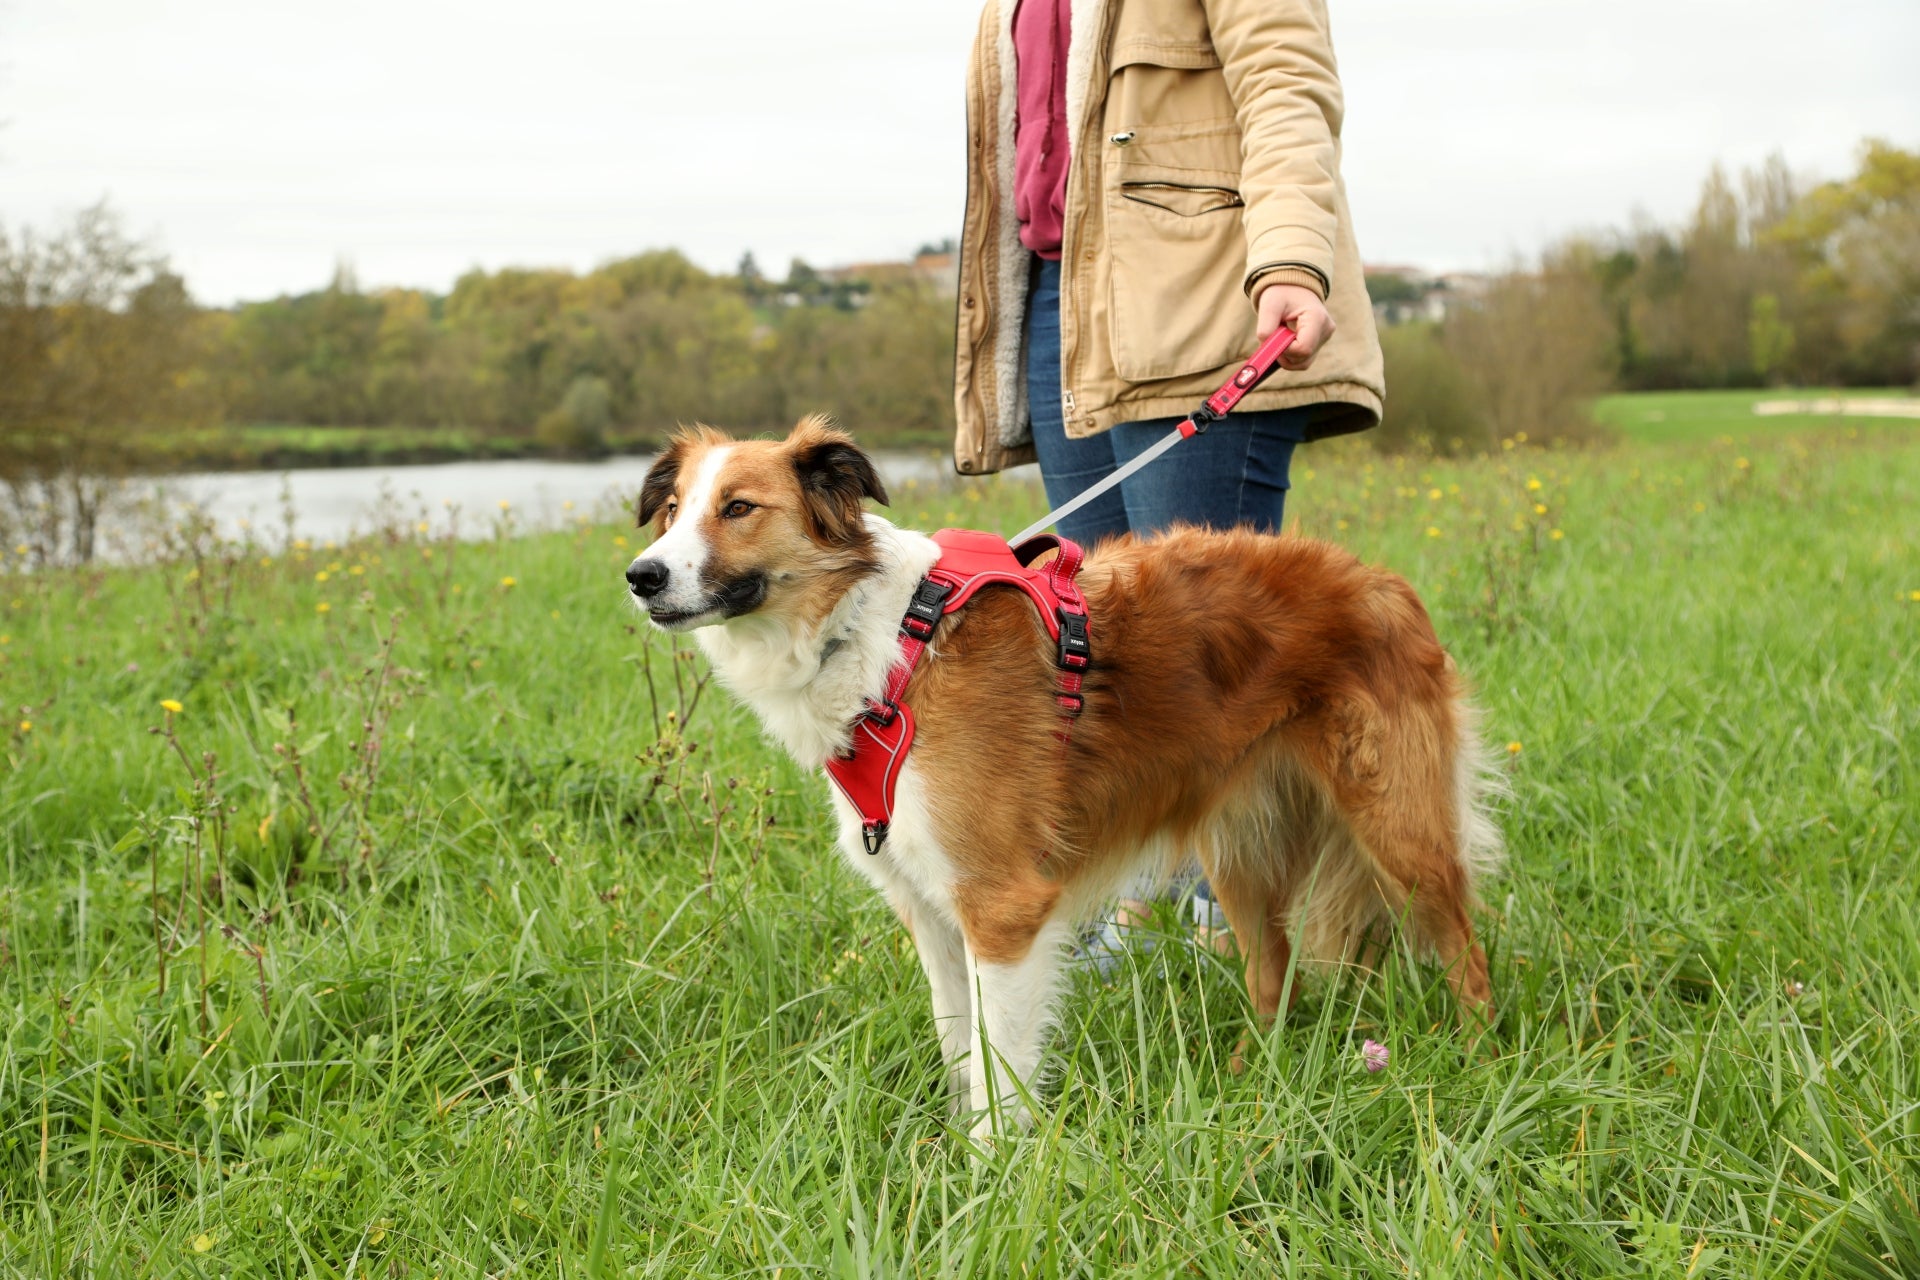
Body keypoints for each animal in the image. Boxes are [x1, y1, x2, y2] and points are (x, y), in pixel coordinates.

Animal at [629, 420, 1497, 1143]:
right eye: (670, 509)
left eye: (739, 508)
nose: (641, 576)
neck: (888, 643)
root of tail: (1379, 580)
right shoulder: (929, 910)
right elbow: (958, 1045)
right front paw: (950, 1157)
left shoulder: (1001, 906)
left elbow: (997, 1067)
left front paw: (987, 1178)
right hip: (1241, 851)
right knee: (1273, 976)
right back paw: (1257, 1079)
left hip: (1399, 829)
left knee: (1465, 952)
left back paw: (1481, 1064)